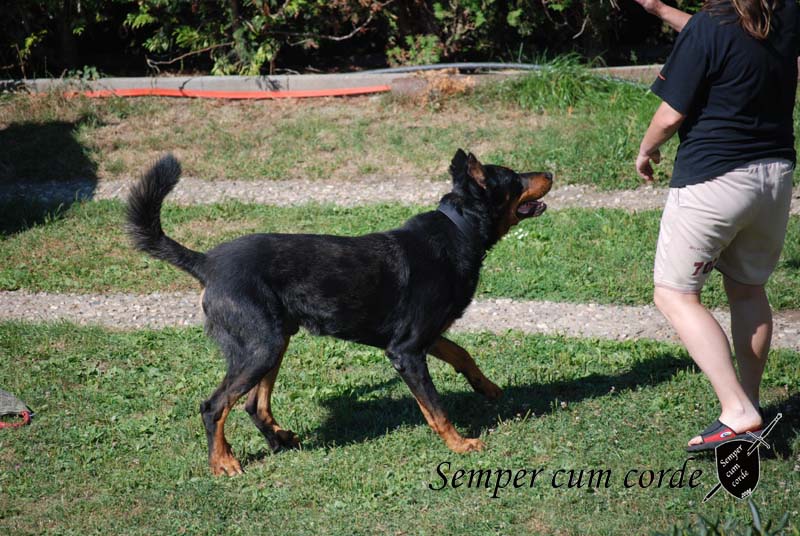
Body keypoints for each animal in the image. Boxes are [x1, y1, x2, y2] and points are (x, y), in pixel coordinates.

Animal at [128, 150, 552, 474]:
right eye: (514, 178)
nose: (549, 172)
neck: (458, 230)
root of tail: (206, 264)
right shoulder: (406, 351)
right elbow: (435, 407)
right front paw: (460, 445)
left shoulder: (424, 338)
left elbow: (463, 354)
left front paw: (489, 388)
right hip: (261, 347)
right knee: (213, 406)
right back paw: (223, 463)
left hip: (274, 341)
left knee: (253, 404)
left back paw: (280, 439)